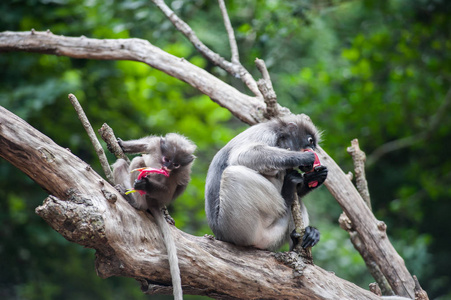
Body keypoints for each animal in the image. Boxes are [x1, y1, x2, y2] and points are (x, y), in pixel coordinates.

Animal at [111, 134, 196, 300]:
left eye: (176, 164)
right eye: (166, 159)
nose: (167, 167)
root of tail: (153, 204)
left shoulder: (178, 174)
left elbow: (168, 191)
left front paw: (146, 184)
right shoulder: (157, 145)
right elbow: (147, 144)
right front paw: (122, 144)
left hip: (149, 198)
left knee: (138, 163)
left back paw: (136, 202)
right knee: (124, 163)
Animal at [205, 115, 328, 251]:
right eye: (310, 141)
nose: (312, 149)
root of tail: (220, 235)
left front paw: (314, 177)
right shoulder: (265, 133)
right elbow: (241, 156)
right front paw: (301, 157)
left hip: (275, 236)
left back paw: (301, 240)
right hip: (239, 229)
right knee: (234, 174)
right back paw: (286, 196)